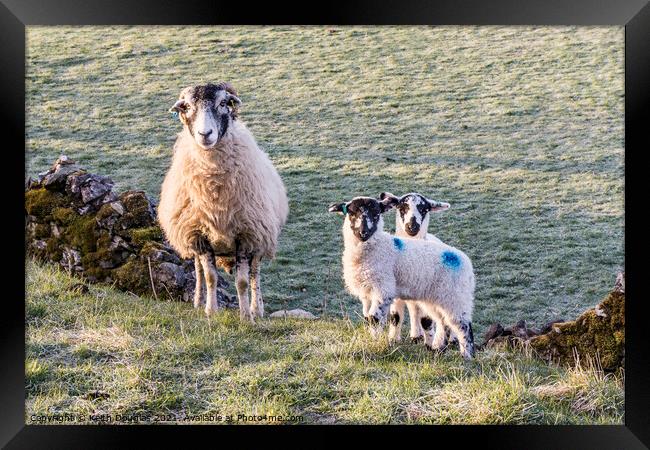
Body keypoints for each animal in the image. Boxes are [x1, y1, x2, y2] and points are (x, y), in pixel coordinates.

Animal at [158, 83, 288, 324]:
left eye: (223, 103)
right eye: (187, 106)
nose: (205, 134)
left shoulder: (246, 235)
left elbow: (243, 282)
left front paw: (246, 316)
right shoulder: (199, 235)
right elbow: (210, 277)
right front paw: (210, 311)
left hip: (260, 239)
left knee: (255, 275)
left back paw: (257, 308)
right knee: (199, 271)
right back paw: (198, 302)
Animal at [326, 193, 474, 358]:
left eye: (376, 214)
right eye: (351, 213)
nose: (364, 232)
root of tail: (465, 261)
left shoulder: (383, 288)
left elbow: (374, 318)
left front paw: (374, 344)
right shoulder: (366, 292)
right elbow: (368, 317)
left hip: (455, 296)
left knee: (463, 325)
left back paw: (467, 357)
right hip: (436, 298)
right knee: (443, 322)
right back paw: (438, 348)